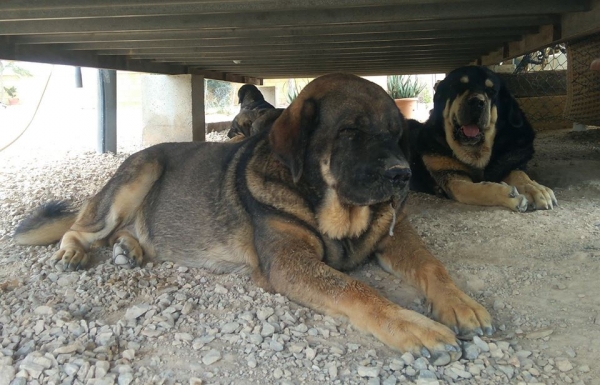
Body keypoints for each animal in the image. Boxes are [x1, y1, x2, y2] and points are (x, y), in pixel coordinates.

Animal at [15, 73, 492, 364]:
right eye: (349, 132)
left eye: (396, 134)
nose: (403, 175)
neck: (324, 203)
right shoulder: (287, 262)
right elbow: (355, 288)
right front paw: (415, 326)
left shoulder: (393, 234)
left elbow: (431, 264)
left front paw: (459, 302)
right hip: (140, 171)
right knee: (80, 227)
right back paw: (76, 252)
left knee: (131, 233)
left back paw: (129, 248)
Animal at [408, 65, 556, 212]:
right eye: (458, 86)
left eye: (491, 91)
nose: (476, 102)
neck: (475, 152)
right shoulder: (450, 174)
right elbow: (473, 188)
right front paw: (509, 195)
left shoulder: (509, 160)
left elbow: (518, 174)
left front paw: (534, 188)